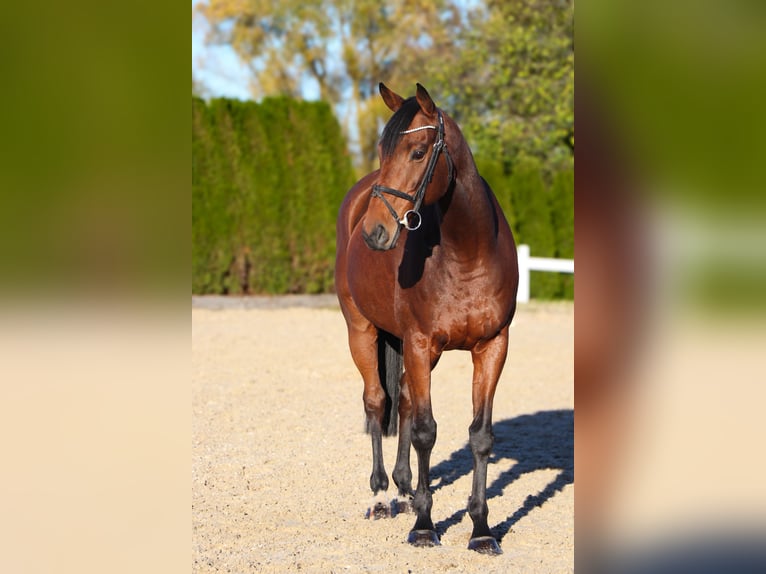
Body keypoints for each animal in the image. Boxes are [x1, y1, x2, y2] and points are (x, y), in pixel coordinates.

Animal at [335, 83, 519, 555]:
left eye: (418, 152)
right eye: (383, 151)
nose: (374, 232)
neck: (467, 252)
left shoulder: (492, 347)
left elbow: (480, 435)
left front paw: (481, 529)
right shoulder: (419, 343)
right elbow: (424, 431)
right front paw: (423, 525)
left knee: (401, 398)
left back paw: (404, 487)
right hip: (361, 331)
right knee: (377, 401)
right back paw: (381, 494)